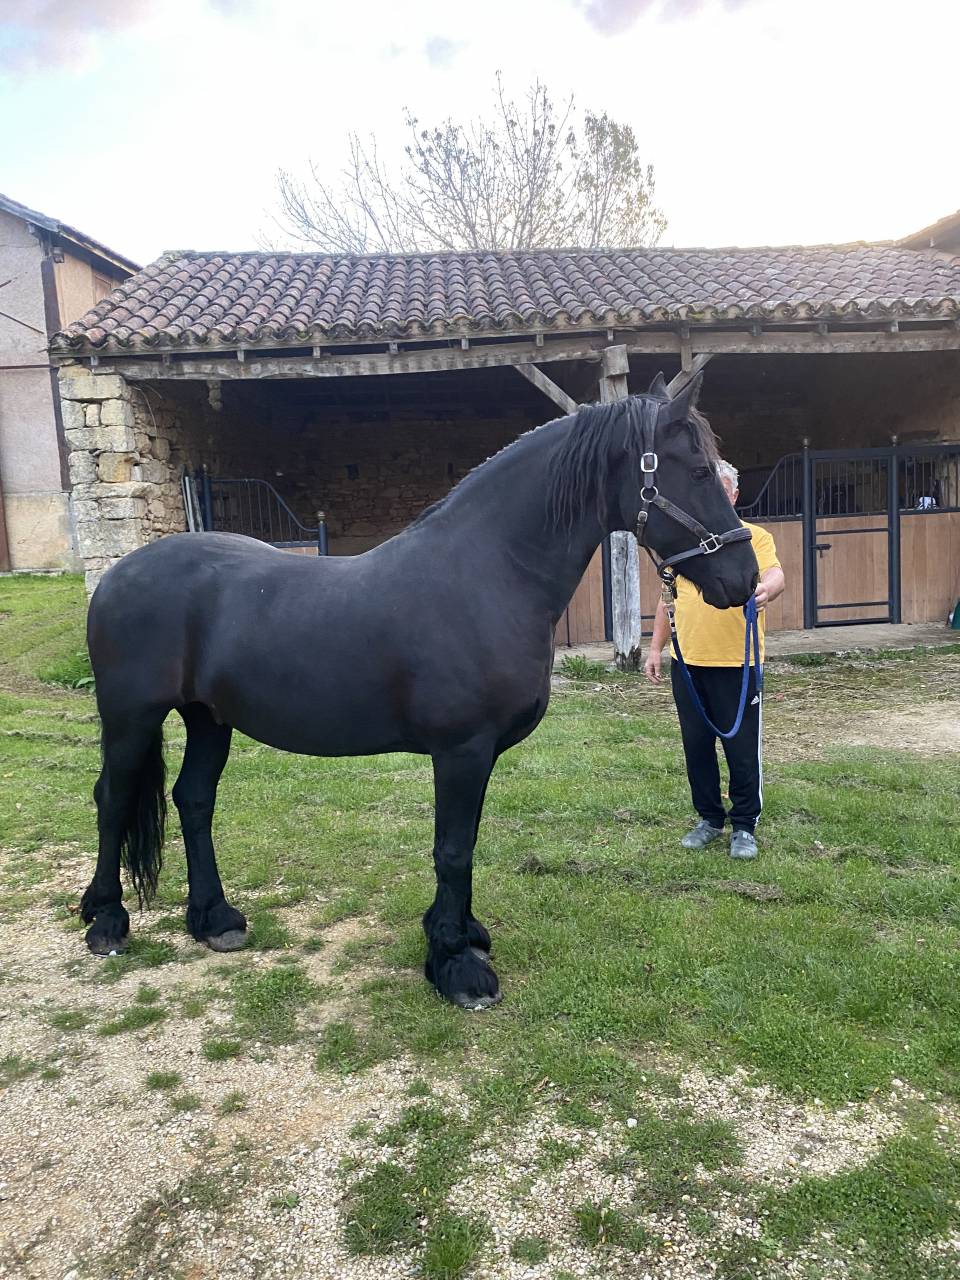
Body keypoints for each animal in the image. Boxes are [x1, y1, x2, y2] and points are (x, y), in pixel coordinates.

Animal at [80, 372, 758, 1009]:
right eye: (699, 471)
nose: (745, 579)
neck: (489, 573)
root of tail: (117, 575)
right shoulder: (461, 750)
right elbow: (453, 849)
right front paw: (457, 966)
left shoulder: (477, 755)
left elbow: (467, 844)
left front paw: (461, 935)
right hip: (132, 716)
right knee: (112, 799)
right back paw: (107, 921)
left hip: (207, 717)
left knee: (193, 800)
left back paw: (214, 919)